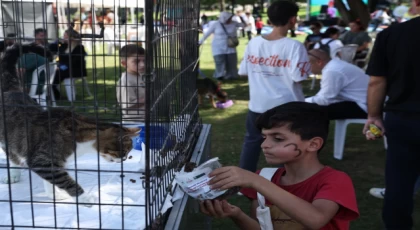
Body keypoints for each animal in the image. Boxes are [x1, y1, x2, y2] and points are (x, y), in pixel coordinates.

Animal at [0, 43, 141, 207]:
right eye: (123, 151)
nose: (124, 159)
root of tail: (12, 91)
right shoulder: (42, 158)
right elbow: (64, 180)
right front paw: (84, 198)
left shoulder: (53, 163)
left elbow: (51, 180)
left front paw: (54, 195)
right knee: (11, 155)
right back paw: (13, 174)